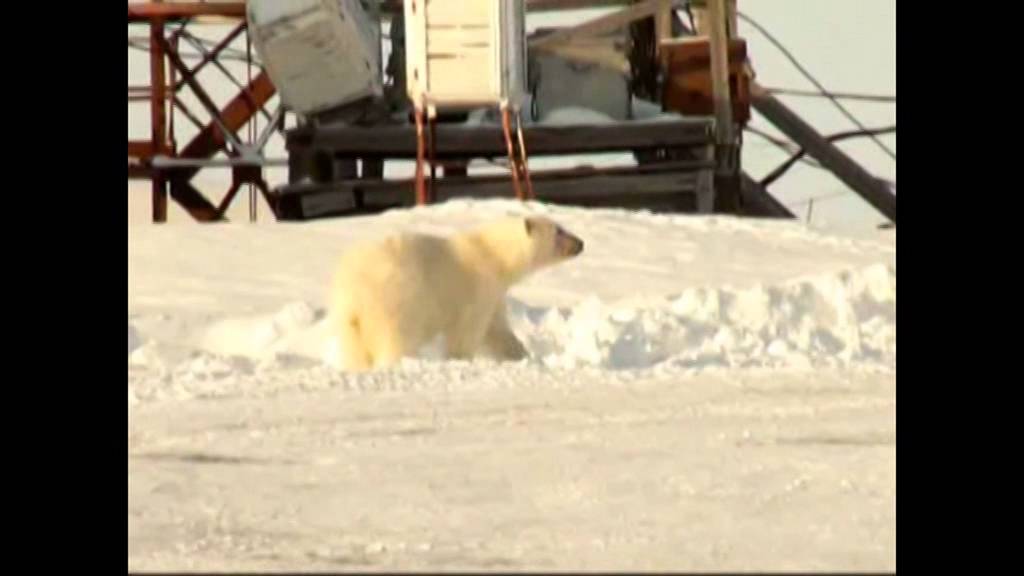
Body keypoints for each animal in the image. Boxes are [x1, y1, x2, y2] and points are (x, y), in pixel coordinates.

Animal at [327, 213, 585, 368]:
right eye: (559, 231)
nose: (581, 243)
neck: (493, 255)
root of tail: (355, 292)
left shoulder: (495, 294)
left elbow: (498, 331)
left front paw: (522, 355)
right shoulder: (478, 288)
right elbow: (467, 332)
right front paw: (460, 358)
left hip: (348, 318)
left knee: (355, 348)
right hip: (397, 301)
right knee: (396, 340)